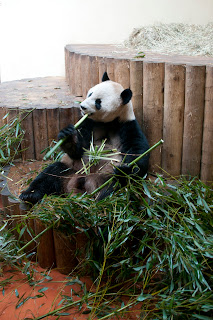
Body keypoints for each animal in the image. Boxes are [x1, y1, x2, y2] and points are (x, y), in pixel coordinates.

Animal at [20, 72, 150, 202]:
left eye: (98, 102)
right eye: (90, 93)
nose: (82, 107)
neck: (108, 122)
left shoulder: (127, 126)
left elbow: (137, 153)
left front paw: (125, 170)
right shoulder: (88, 123)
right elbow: (79, 150)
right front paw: (68, 136)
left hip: (104, 177)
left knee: (114, 187)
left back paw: (101, 198)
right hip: (70, 169)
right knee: (50, 174)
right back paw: (29, 194)